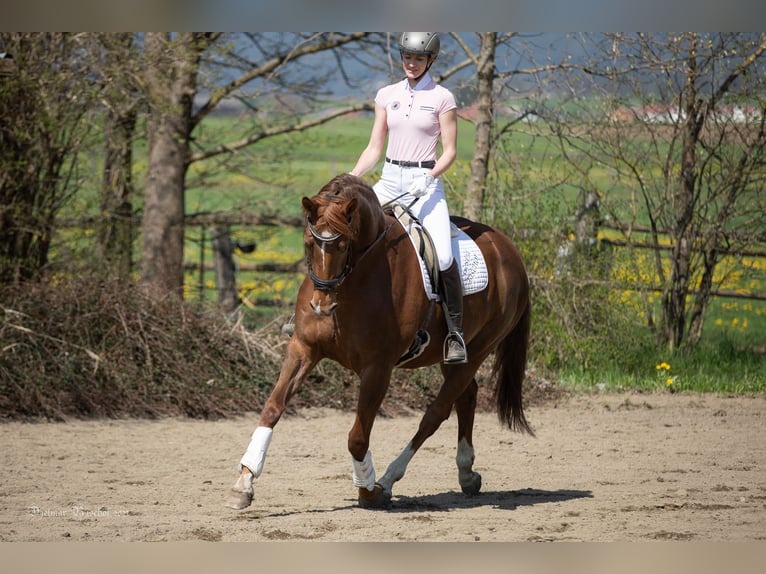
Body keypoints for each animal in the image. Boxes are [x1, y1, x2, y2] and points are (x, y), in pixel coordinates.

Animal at [228, 173, 536, 510]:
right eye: (309, 243)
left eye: (343, 244)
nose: (322, 306)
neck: (355, 280)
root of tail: (509, 250)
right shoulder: (304, 349)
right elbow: (272, 407)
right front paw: (244, 482)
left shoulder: (378, 368)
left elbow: (357, 437)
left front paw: (368, 490)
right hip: (449, 358)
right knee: (466, 397)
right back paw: (466, 474)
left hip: (479, 350)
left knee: (436, 413)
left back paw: (389, 479)